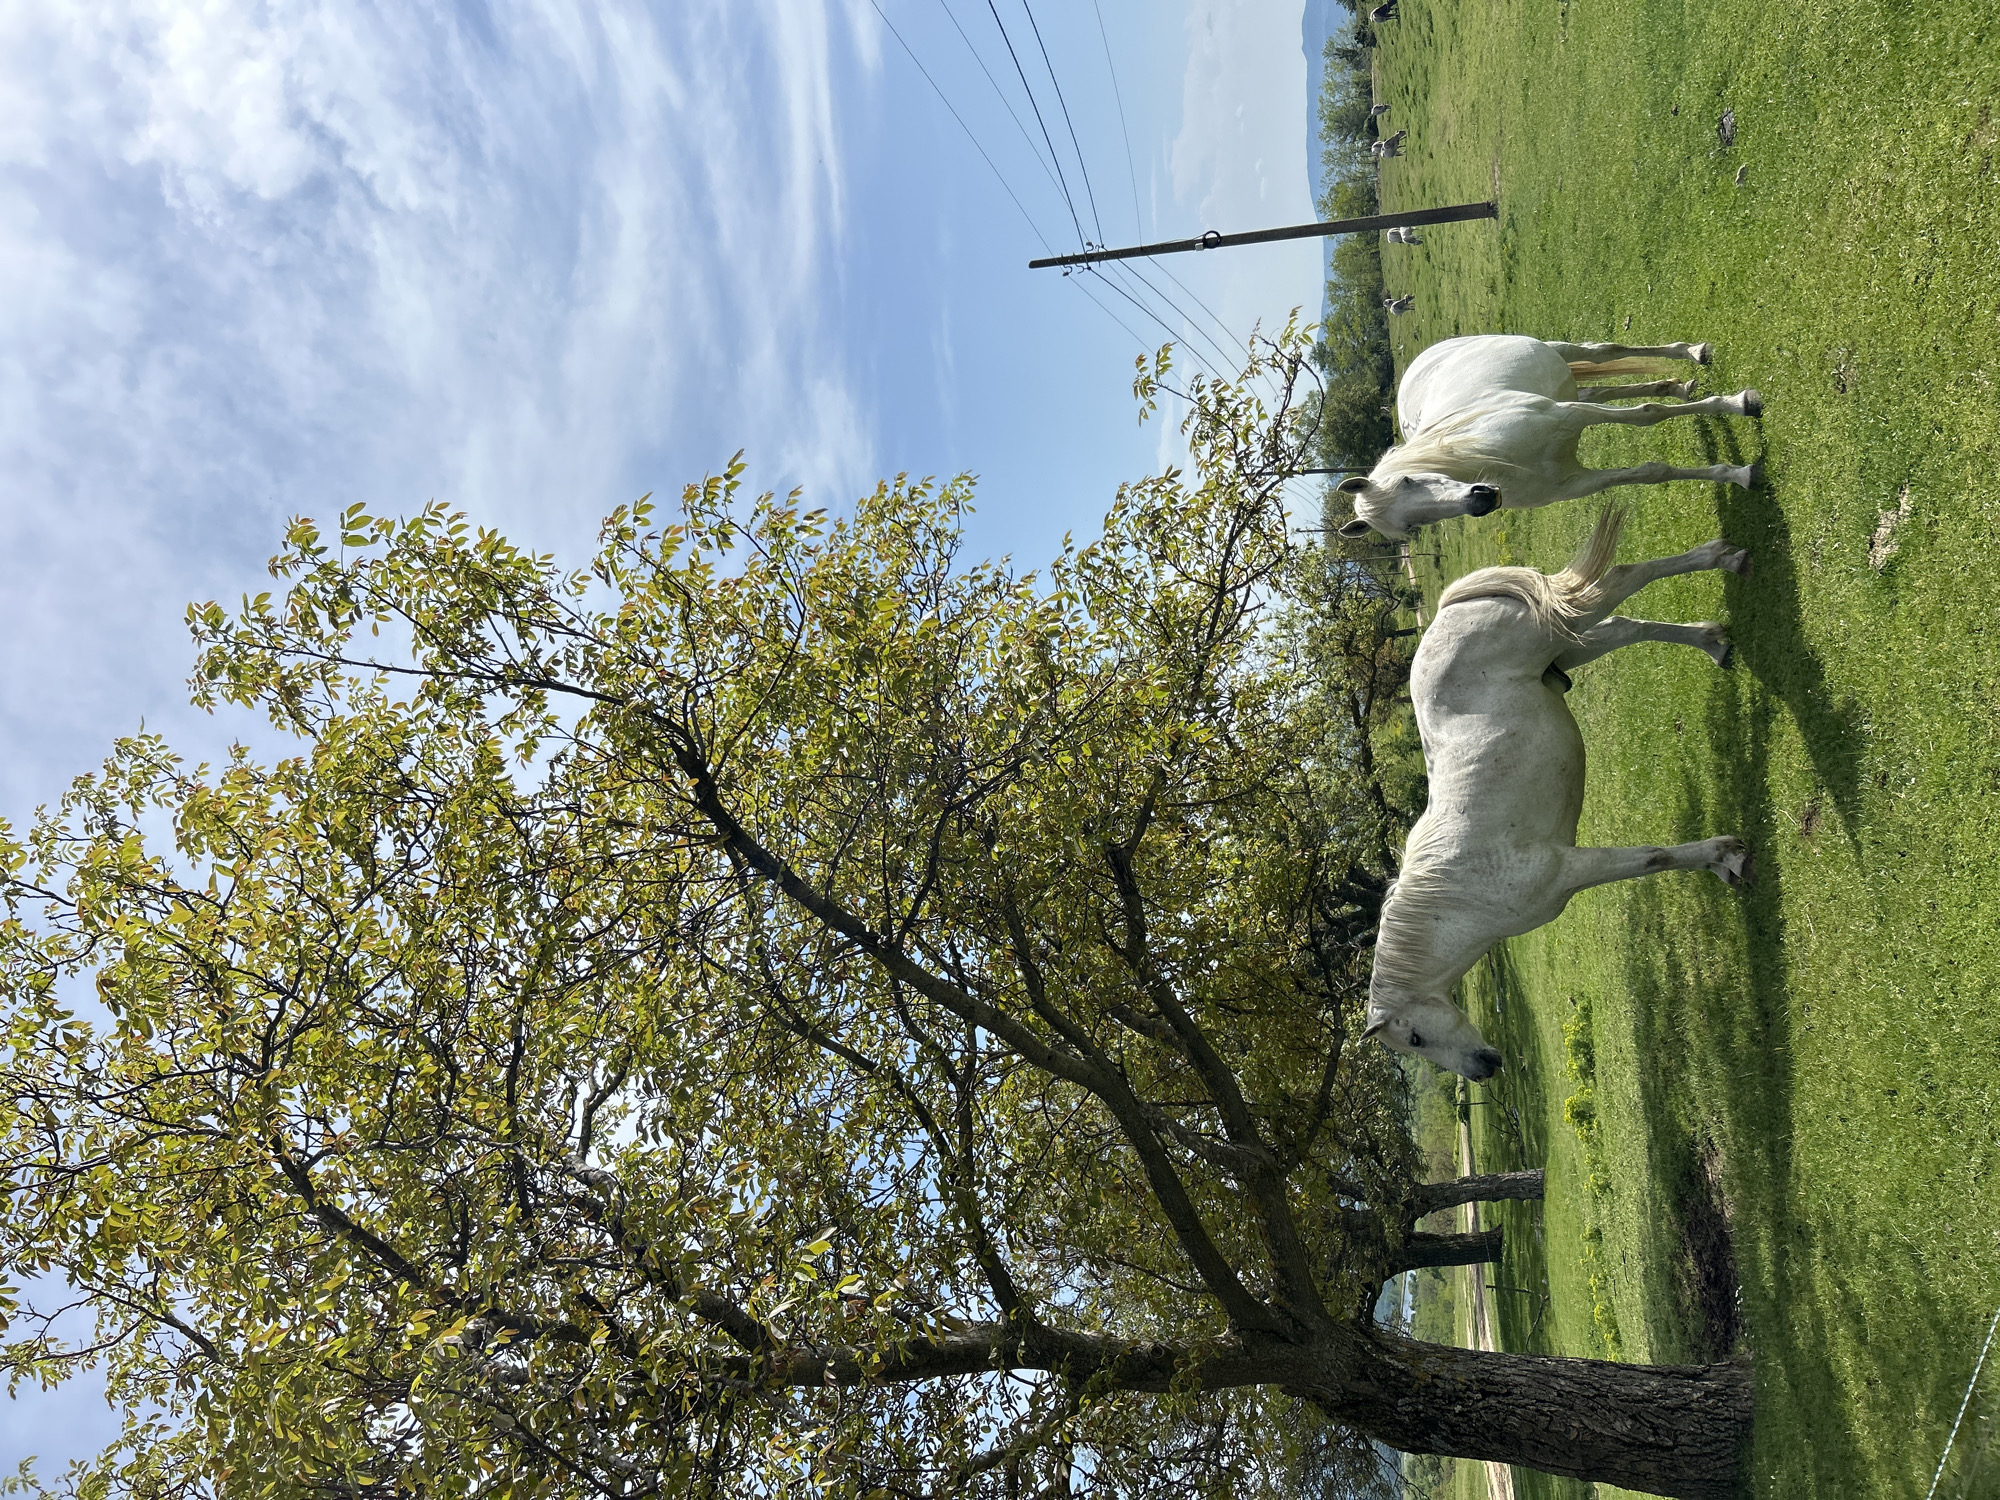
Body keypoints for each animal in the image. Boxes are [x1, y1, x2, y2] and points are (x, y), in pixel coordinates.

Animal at [1333, 334, 1762, 541]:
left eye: (1408, 480)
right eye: (1411, 529)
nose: (1481, 500)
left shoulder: (1569, 415)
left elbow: (1648, 416)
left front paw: (1738, 404)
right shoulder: (1577, 481)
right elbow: (1652, 472)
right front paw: (1737, 474)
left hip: (1561, 355)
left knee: (1606, 351)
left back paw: (1693, 352)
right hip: (1572, 388)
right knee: (1606, 389)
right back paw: (1676, 386)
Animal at [1360, 510, 1754, 1080]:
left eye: (1415, 1037)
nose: (1482, 1070)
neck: (1456, 899)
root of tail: (1442, 613)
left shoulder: (1570, 868)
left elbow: (1654, 858)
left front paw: (1726, 856)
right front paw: (1723, 860)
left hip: (1559, 627)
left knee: (1623, 579)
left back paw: (1723, 557)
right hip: (1571, 640)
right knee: (1627, 626)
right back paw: (1713, 640)